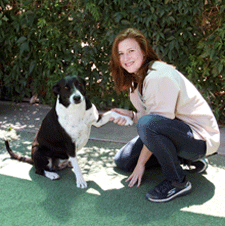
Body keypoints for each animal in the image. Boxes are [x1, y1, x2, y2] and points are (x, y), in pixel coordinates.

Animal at [5, 75, 133, 188]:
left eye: (79, 84)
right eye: (66, 87)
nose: (77, 97)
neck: (76, 110)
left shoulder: (97, 121)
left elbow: (112, 112)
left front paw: (127, 119)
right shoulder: (70, 145)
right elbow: (77, 167)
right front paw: (80, 181)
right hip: (38, 151)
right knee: (39, 170)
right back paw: (52, 174)